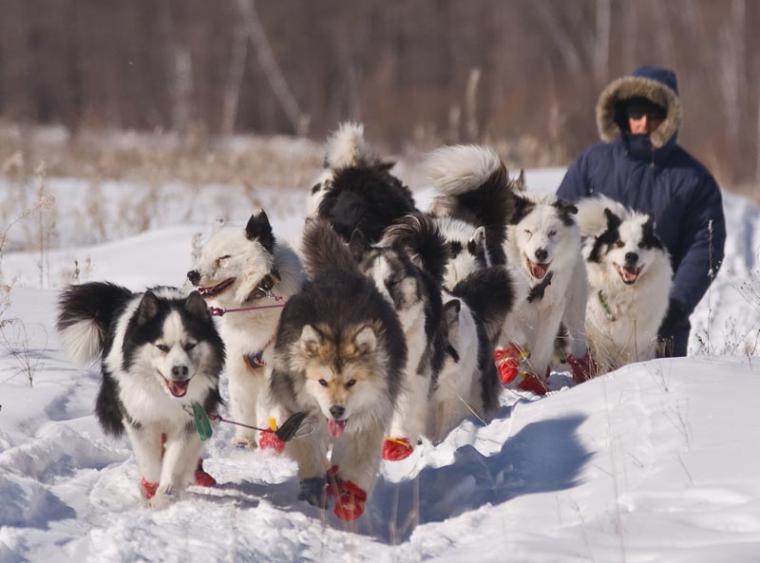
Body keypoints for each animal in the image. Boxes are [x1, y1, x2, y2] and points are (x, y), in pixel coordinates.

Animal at [56, 284, 224, 508]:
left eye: (190, 345)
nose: (180, 370)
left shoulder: (191, 417)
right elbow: (150, 459)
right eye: (162, 347)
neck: (164, 394)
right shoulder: (140, 417)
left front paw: (165, 493)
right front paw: (152, 488)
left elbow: (176, 458)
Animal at [187, 210, 306, 450]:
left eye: (224, 257)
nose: (192, 274)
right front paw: (244, 439)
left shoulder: (274, 366)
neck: (256, 298)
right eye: (204, 255)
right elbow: (242, 406)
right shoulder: (239, 364)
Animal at [270, 219, 406, 520]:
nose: (336, 410)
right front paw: (312, 485)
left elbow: (358, 459)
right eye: (322, 382)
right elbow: (307, 449)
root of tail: (337, 272)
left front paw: (350, 496)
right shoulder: (297, 413)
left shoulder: (369, 418)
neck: (338, 327)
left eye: (352, 382)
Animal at [576, 196, 672, 372]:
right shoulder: (600, 340)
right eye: (619, 243)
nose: (631, 256)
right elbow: (602, 367)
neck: (623, 293)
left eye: (641, 244)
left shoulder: (637, 342)